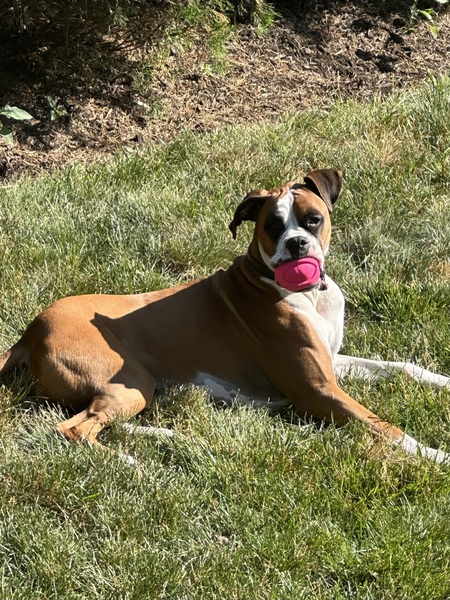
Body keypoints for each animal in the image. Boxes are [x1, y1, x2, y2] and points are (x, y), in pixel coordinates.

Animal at [0, 171, 448, 462]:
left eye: (312, 219)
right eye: (272, 225)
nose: (297, 244)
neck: (302, 294)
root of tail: (30, 332)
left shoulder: (333, 365)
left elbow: (402, 367)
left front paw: (442, 381)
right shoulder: (319, 391)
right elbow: (386, 427)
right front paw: (436, 454)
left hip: (136, 390)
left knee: (106, 421)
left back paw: (166, 435)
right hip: (131, 379)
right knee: (74, 429)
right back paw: (131, 462)